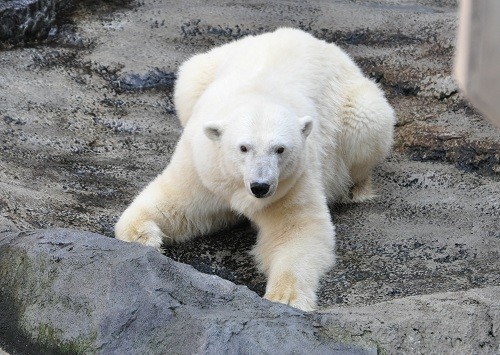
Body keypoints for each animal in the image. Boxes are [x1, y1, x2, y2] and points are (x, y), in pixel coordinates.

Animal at [115, 28, 396, 312]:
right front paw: (143, 235)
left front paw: (285, 297)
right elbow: (175, 205)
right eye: (243, 148)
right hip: (199, 73)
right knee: (187, 80)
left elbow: (296, 228)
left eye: (280, 149)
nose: (260, 186)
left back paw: (355, 189)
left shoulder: (293, 180)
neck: (257, 94)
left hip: (355, 107)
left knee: (366, 127)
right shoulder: (204, 167)